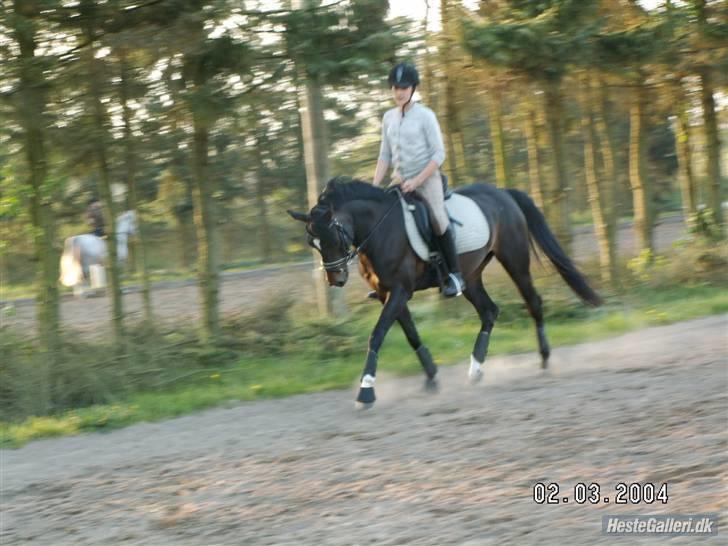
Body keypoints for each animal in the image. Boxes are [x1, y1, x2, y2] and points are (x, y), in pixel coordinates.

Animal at [288, 176, 600, 406]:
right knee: (489, 311)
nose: (335, 278)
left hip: (515, 260)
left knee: (533, 302)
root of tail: (503, 193)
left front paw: (366, 391)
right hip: (471, 276)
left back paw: (545, 360)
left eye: (333, 234)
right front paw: (432, 377)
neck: (379, 229)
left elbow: (376, 335)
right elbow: (411, 335)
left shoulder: (400, 291)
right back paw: (476, 370)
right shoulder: (389, 294)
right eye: (313, 242)